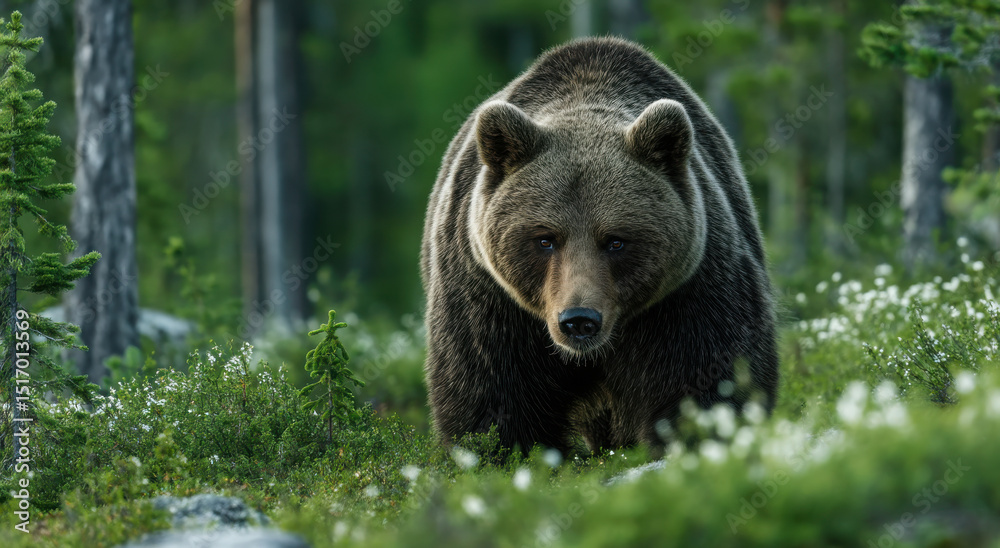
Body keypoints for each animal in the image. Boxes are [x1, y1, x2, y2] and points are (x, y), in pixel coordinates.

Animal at [421, 37, 778, 455]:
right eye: (545, 239)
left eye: (615, 240)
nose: (579, 319)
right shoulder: (486, 294)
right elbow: (490, 392)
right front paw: (501, 448)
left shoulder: (690, 288)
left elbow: (708, 374)